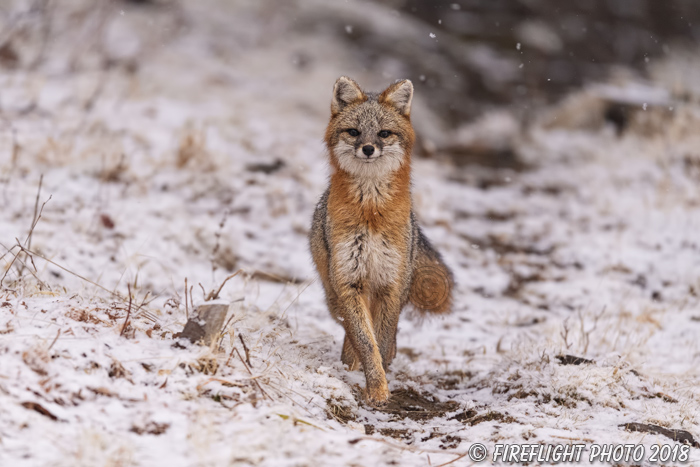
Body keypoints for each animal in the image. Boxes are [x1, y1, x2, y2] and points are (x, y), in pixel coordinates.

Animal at [308, 77, 452, 406]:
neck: (371, 212)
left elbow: (383, 339)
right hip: (334, 296)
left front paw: (382, 381)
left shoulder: (391, 285)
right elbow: (365, 339)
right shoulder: (349, 283)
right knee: (350, 328)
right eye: (354, 132)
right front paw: (375, 386)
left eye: (384, 133)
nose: (368, 148)